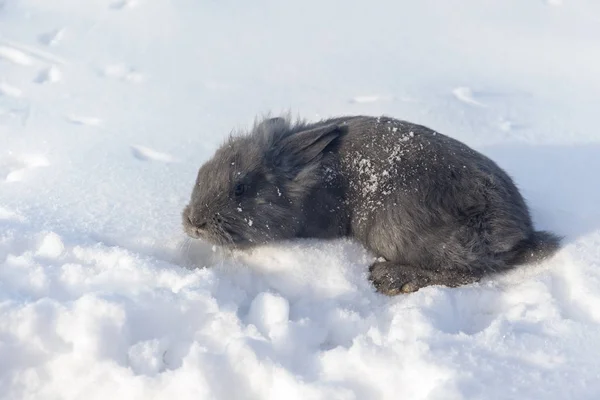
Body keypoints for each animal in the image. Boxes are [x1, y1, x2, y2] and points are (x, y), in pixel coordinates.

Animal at [180, 115, 560, 294]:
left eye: (240, 188)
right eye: (202, 171)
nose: (193, 222)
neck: (305, 182)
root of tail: (519, 232)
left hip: (396, 230)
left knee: (466, 272)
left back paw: (391, 278)